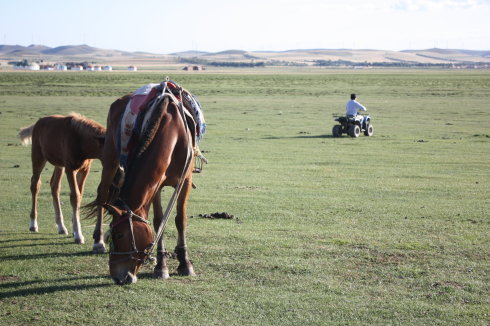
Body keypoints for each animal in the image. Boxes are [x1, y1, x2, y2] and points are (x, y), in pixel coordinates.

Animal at [20, 114, 106, 244]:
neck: (80, 139)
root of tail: (39, 122)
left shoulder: (85, 170)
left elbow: (80, 194)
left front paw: (74, 229)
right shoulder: (70, 169)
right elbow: (75, 196)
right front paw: (78, 235)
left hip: (59, 165)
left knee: (54, 186)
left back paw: (61, 227)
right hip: (38, 158)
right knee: (35, 185)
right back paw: (33, 224)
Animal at [89, 82, 200, 286]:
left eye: (120, 235)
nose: (117, 277)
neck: (173, 132)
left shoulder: (185, 181)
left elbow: (180, 220)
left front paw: (185, 263)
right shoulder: (156, 184)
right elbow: (158, 221)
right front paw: (161, 267)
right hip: (110, 159)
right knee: (102, 195)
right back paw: (98, 242)